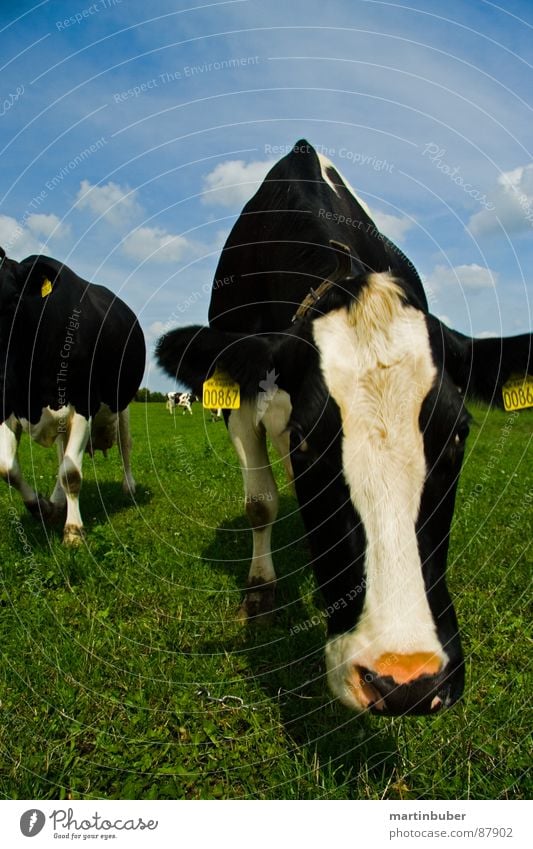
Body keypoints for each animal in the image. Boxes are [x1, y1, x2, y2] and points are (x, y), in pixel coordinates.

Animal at [0, 248, 145, 548]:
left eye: (11, 301)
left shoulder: (83, 403)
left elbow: (71, 473)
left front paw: (74, 530)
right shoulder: (8, 403)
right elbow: (8, 468)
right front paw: (42, 507)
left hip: (123, 402)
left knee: (124, 445)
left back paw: (129, 486)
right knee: (61, 453)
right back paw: (56, 500)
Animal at [156, 141, 528, 716]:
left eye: (458, 434)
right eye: (308, 443)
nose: (405, 680)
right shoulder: (239, 401)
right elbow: (260, 502)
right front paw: (259, 593)